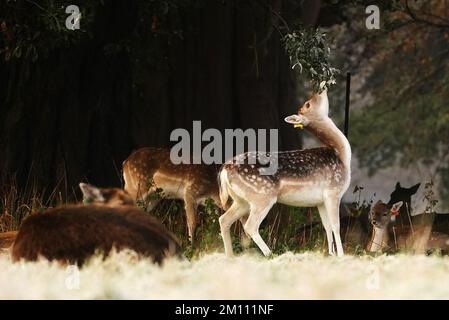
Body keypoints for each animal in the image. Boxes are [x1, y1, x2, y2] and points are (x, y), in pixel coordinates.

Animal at [217, 90, 350, 258]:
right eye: (307, 104)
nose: (320, 90)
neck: (341, 156)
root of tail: (225, 169)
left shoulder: (320, 200)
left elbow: (327, 226)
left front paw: (331, 254)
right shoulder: (334, 191)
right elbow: (336, 225)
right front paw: (341, 255)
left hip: (241, 200)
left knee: (224, 220)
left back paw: (230, 256)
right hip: (262, 196)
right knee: (250, 225)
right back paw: (269, 253)